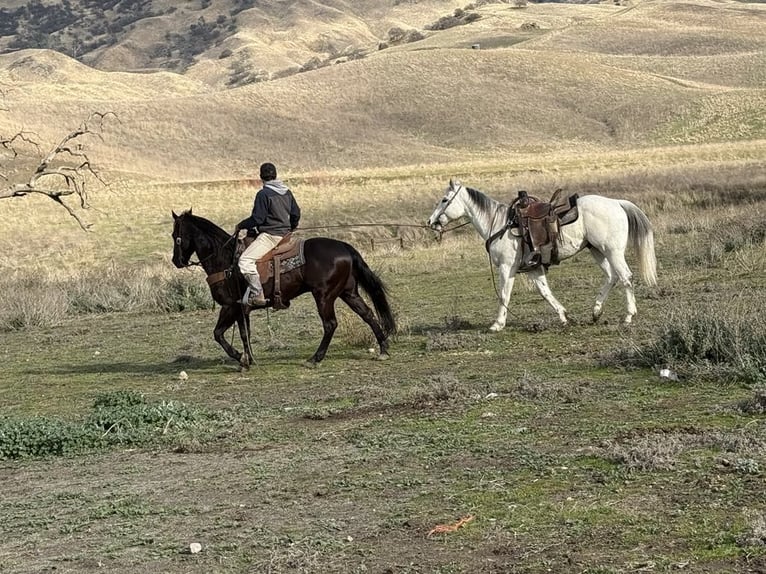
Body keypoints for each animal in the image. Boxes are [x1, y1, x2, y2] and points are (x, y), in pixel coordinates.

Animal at [169, 210, 396, 368]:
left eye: (175, 235)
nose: (176, 261)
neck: (224, 260)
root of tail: (344, 247)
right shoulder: (241, 309)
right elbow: (244, 334)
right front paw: (248, 358)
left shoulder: (230, 307)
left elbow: (218, 334)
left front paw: (240, 358)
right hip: (348, 293)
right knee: (367, 314)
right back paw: (383, 349)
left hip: (324, 296)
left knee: (330, 324)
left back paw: (315, 358)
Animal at [428, 180, 656, 332]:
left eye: (445, 200)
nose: (431, 221)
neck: (499, 223)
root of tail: (617, 203)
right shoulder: (533, 268)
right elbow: (545, 292)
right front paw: (563, 316)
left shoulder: (507, 267)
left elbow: (504, 294)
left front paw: (497, 324)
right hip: (597, 250)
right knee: (611, 277)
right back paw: (596, 311)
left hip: (612, 251)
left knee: (625, 277)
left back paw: (628, 316)